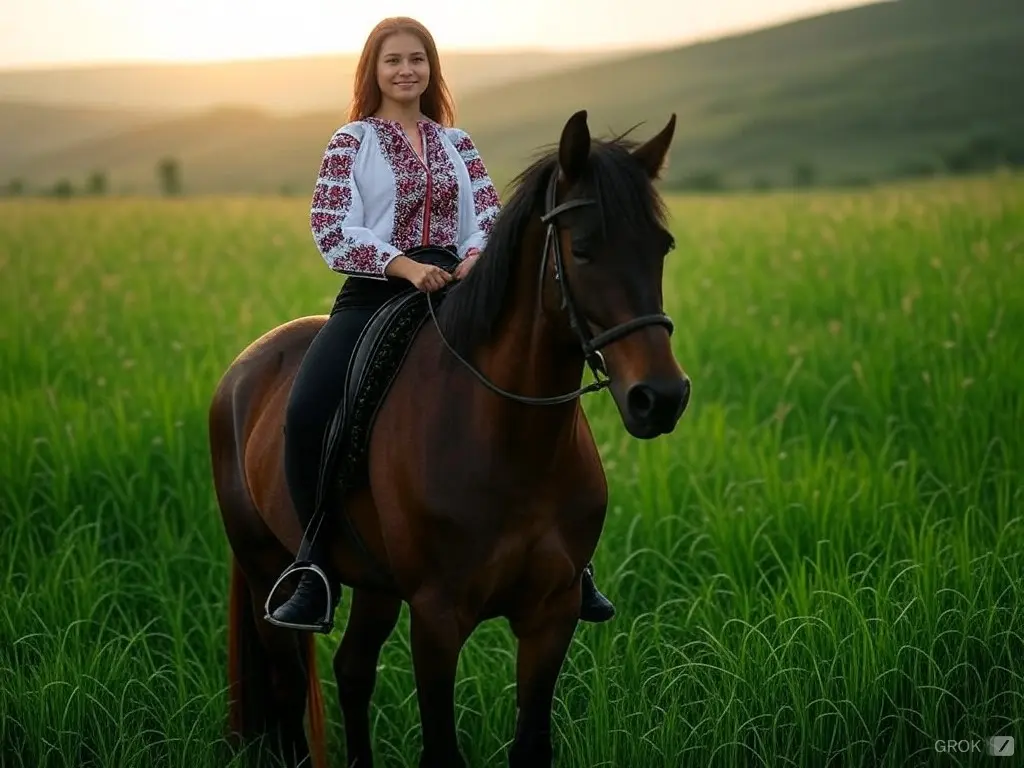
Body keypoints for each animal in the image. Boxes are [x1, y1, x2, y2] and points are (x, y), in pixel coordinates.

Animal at [206, 108, 688, 768]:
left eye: (661, 248)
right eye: (584, 250)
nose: (660, 398)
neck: (508, 440)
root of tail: (241, 370)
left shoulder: (553, 612)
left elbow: (531, 745)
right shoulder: (436, 617)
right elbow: (442, 750)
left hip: (375, 585)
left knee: (352, 671)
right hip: (264, 566)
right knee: (286, 687)